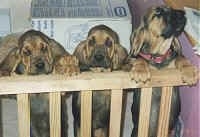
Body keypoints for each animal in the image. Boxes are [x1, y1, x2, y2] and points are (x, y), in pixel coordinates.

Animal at [130, 5, 198, 137]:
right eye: (158, 12)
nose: (183, 13)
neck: (159, 56)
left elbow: (180, 57)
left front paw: (189, 71)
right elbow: (140, 58)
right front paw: (140, 70)